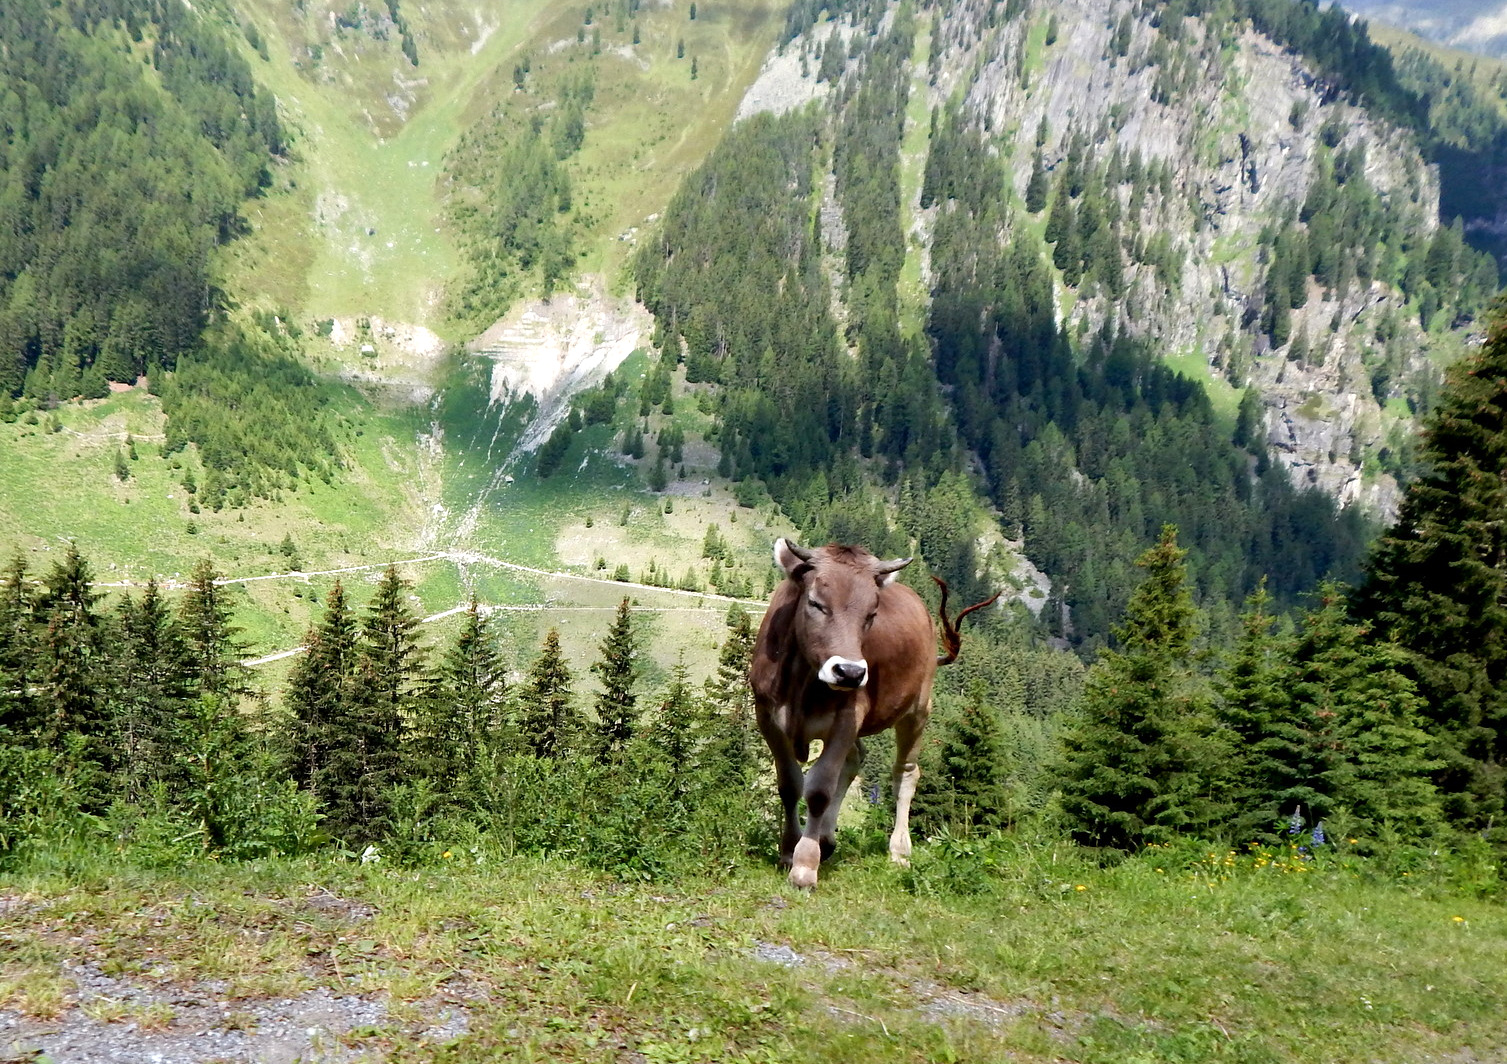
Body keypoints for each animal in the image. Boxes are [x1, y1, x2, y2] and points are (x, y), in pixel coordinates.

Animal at [747, 539, 994, 886]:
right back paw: (827, 839)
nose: (850, 672)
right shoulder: (767, 715)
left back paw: (900, 852)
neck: (801, 682)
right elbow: (790, 784)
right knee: (856, 758)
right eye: (815, 603)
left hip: (918, 707)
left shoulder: (848, 717)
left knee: (906, 773)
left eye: (872, 613)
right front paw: (787, 850)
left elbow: (819, 789)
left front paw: (805, 865)